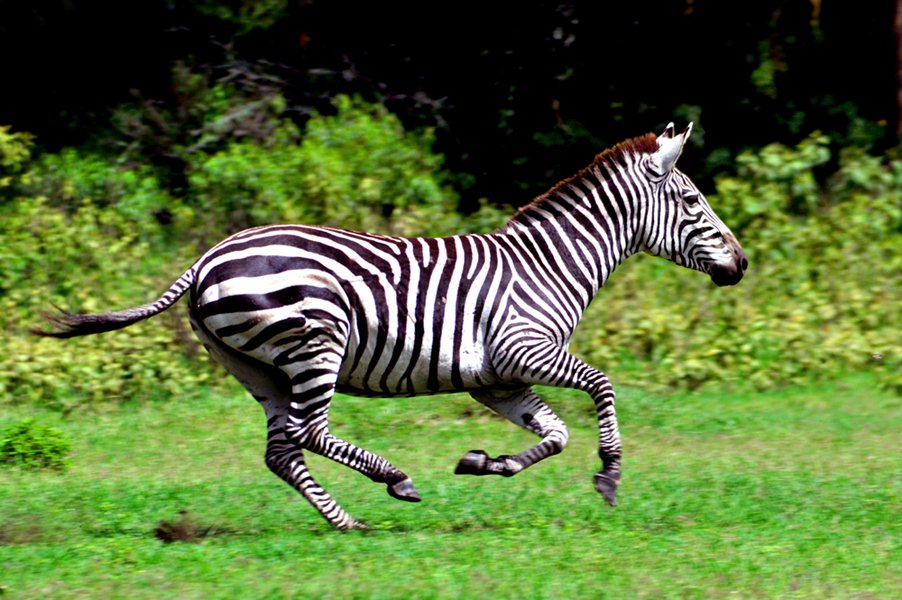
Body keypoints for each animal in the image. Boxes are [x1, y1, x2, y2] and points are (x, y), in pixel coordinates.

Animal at [38, 123, 747, 530]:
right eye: (692, 200)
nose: (740, 265)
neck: (548, 263)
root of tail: (209, 256)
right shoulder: (523, 350)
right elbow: (601, 390)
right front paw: (609, 477)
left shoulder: (496, 379)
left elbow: (554, 434)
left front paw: (484, 463)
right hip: (315, 342)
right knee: (308, 431)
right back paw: (392, 479)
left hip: (254, 366)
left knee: (281, 448)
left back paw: (346, 522)